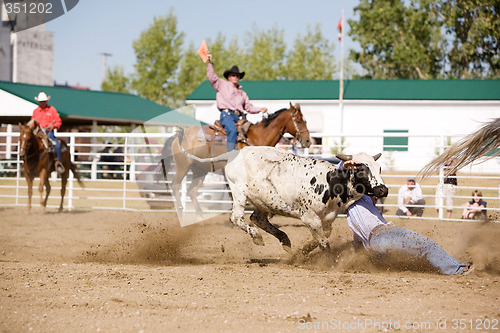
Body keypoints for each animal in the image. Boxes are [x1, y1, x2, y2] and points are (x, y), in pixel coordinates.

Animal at [158, 102, 310, 214]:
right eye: (298, 121)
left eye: (305, 120)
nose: (308, 141)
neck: (256, 138)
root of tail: (178, 135)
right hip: (183, 166)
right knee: (175, 185)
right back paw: (180, 210)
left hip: (200, 169)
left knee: (192, 191)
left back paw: (199, 215)